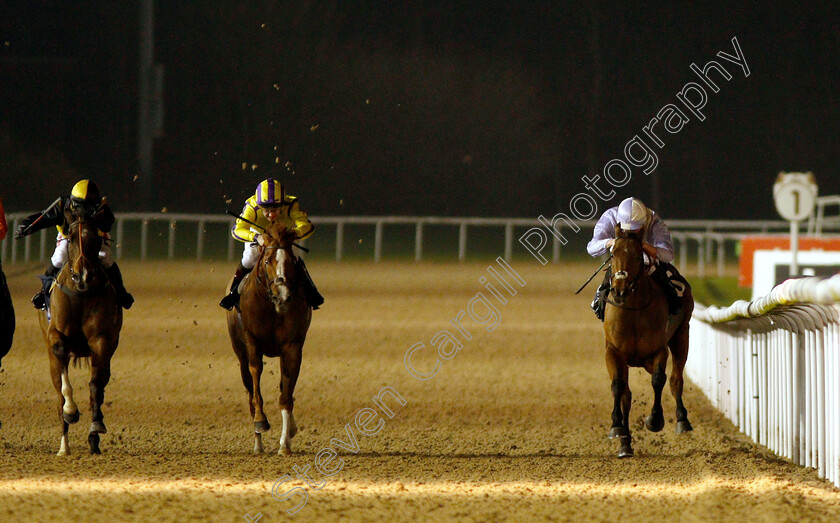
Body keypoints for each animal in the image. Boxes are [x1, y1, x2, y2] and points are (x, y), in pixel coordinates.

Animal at [38, 217, 121, 454]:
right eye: (71, 238)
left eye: (94, 238)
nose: (83, 275)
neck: (81, 293)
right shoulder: (55, 337)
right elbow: (64, 384)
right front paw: (71, 410)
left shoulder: (102, 340)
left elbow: (96, 385)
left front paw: (96, 426)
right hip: (52, 358)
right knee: (58, 394)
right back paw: (64, 447)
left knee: (99, 386)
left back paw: (93, 441)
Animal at [226, 221, 312, 454]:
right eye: (266, 261)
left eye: (291, 262)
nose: (282, 295)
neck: (273, 309)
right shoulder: (253, 342)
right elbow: (256, 380)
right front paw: (260, 421)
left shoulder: (292, 346)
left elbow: (286, 394)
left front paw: (285, 443)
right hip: (239, 353)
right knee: (249, 390)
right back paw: (258, 444)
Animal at [608, 227, 692, 456]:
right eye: (613, 254)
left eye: (639, 256)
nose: (620, 290)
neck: (633, 312)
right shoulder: (613, 351)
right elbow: (619, 387)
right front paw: (617, 428)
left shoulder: (659, 350)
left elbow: (658, 379)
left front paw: (655, 419)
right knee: (626, 394)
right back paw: (625, 444)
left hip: (682, 335)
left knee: (676, 379)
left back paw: (682, 420)